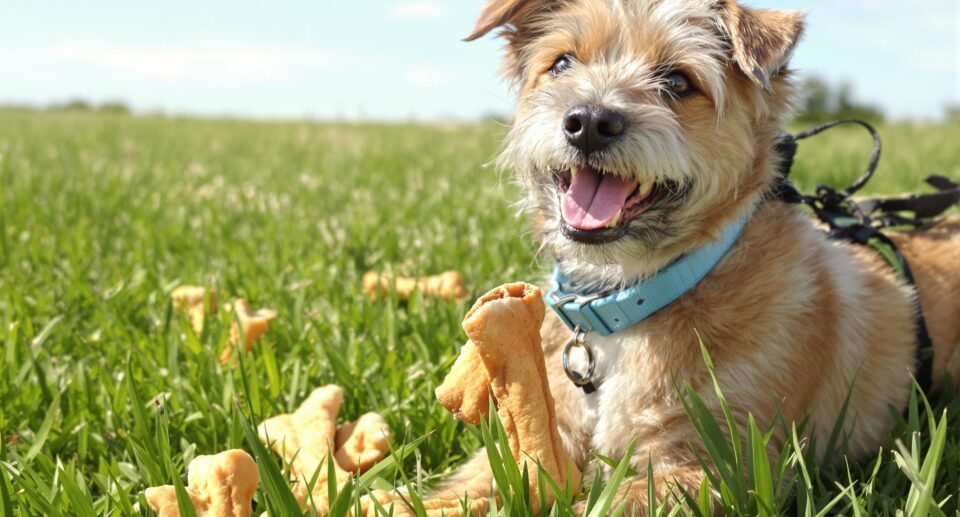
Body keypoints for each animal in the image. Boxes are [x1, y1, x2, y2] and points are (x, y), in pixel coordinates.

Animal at [434, 0, 960, 512]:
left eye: (678, 82)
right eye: (561, 63)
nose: (588, 123)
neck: (632, 297)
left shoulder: (710, 467)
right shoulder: (546, 433)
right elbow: (473, 487)